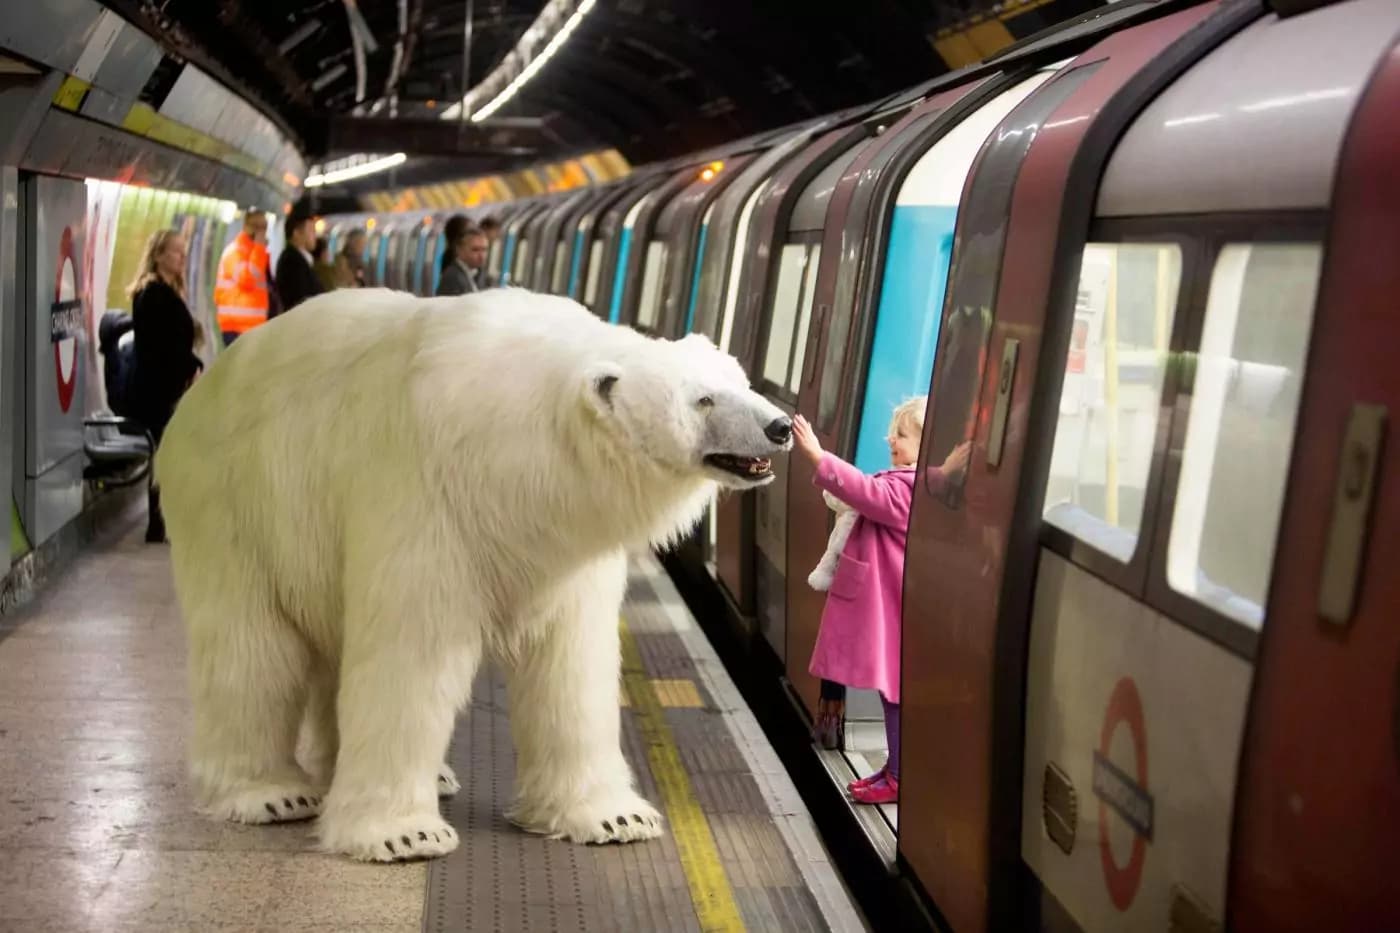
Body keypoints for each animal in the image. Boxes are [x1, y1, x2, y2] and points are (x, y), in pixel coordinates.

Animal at [154, 286, 793, 862]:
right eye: (703, 400)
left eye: (741, 381)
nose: (781, 426)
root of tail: (198, 393)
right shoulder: (425, 493)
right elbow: (410, 655)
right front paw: (403, 835)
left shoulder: (565, 546)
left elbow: (571, 662)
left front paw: (616, 818)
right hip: (234, 506)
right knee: (253, 651)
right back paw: (271, 794)